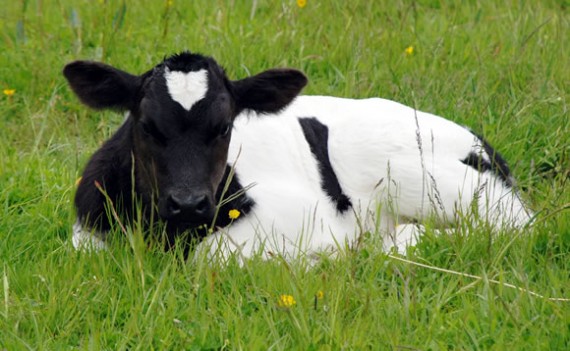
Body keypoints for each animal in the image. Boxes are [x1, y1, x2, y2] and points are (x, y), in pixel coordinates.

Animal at [64, 51, 532, 262]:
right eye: (146, 125)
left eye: (225, 126)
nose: (189, 203)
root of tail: (480, 141)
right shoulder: (88, 228)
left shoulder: (309, 216)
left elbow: (207, 257)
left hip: (417, 175)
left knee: (511, 225)